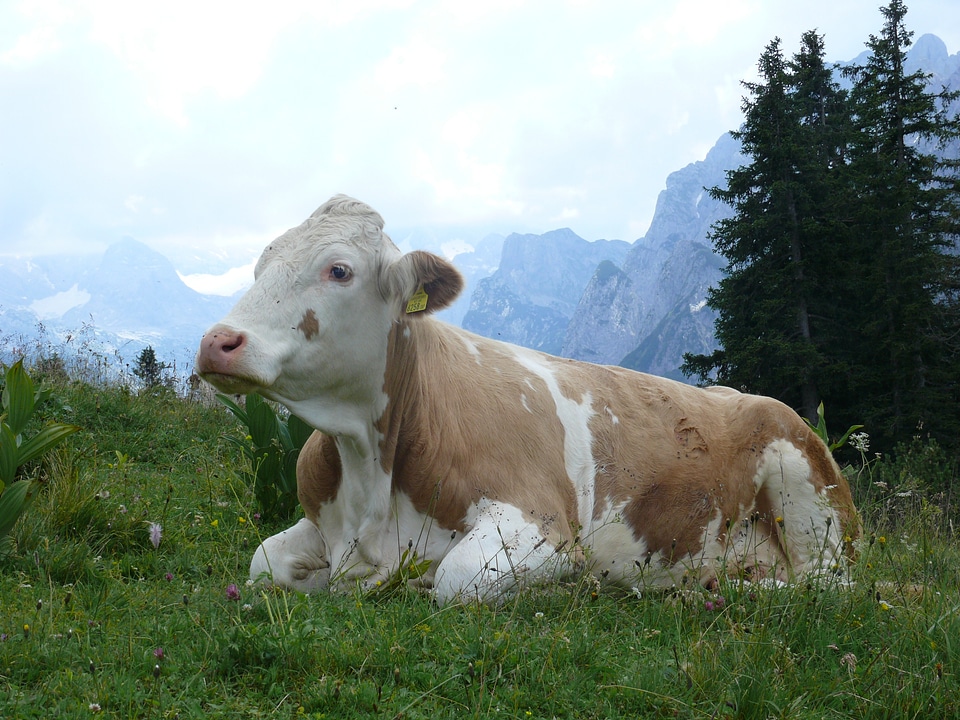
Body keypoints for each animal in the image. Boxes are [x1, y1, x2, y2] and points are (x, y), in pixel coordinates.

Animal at [197, 194, 864, 604]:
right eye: (261, 263)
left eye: (339, 270)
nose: (216, 342)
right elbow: (263, 562)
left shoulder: (539, 524)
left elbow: (454, 579)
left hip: (810, 492)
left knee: (826, 583)